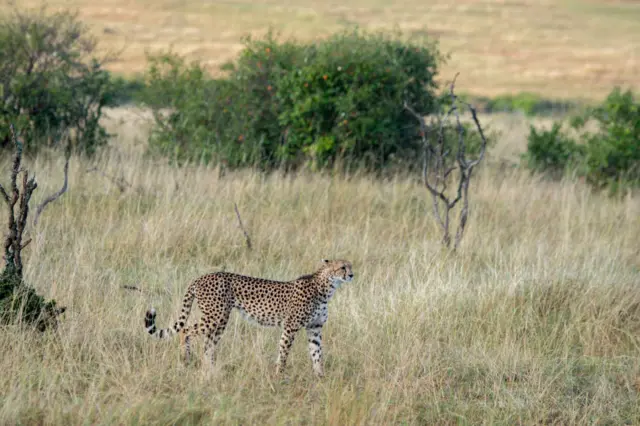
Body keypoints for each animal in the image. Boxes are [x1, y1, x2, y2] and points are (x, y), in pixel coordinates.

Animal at [144, 259, 354, 377]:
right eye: (342, 267)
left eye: (350, 266)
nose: (352, 275)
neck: (326, 287)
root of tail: (201, 277)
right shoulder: (290, 327)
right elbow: (284, 352)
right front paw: (279, 376)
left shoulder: (314, 328)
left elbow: (317, 354)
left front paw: (320, 378)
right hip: (214, 317)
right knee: (186, 331)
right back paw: (185, 359)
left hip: (220, 320)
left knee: (208, 344)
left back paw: (210, 370)